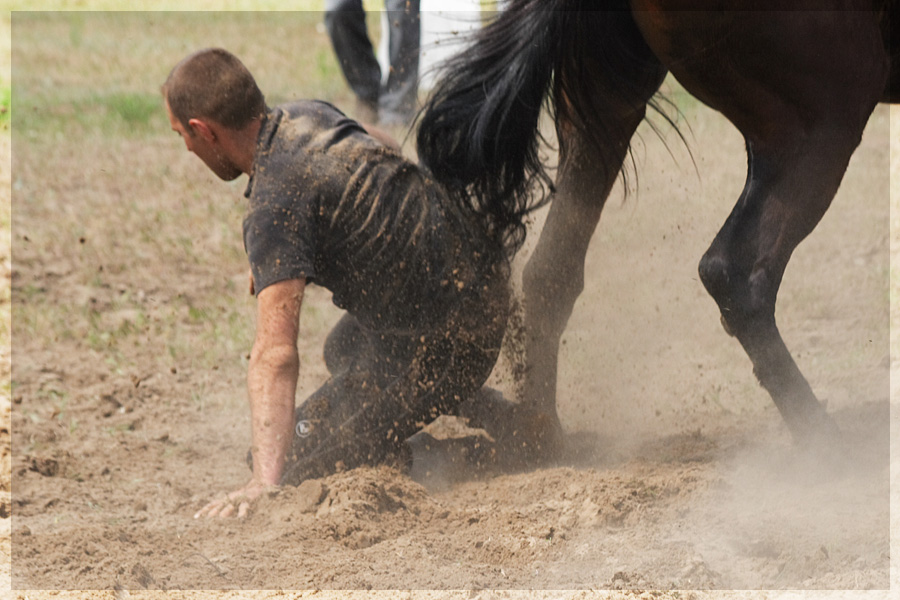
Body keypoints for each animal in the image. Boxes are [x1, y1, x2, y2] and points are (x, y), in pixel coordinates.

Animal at [418, 0, 896, 450]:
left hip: (607, 102)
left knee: (551, 270)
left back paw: (539, 433)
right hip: (817, 122)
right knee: (733, 273)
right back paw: (826, 444)